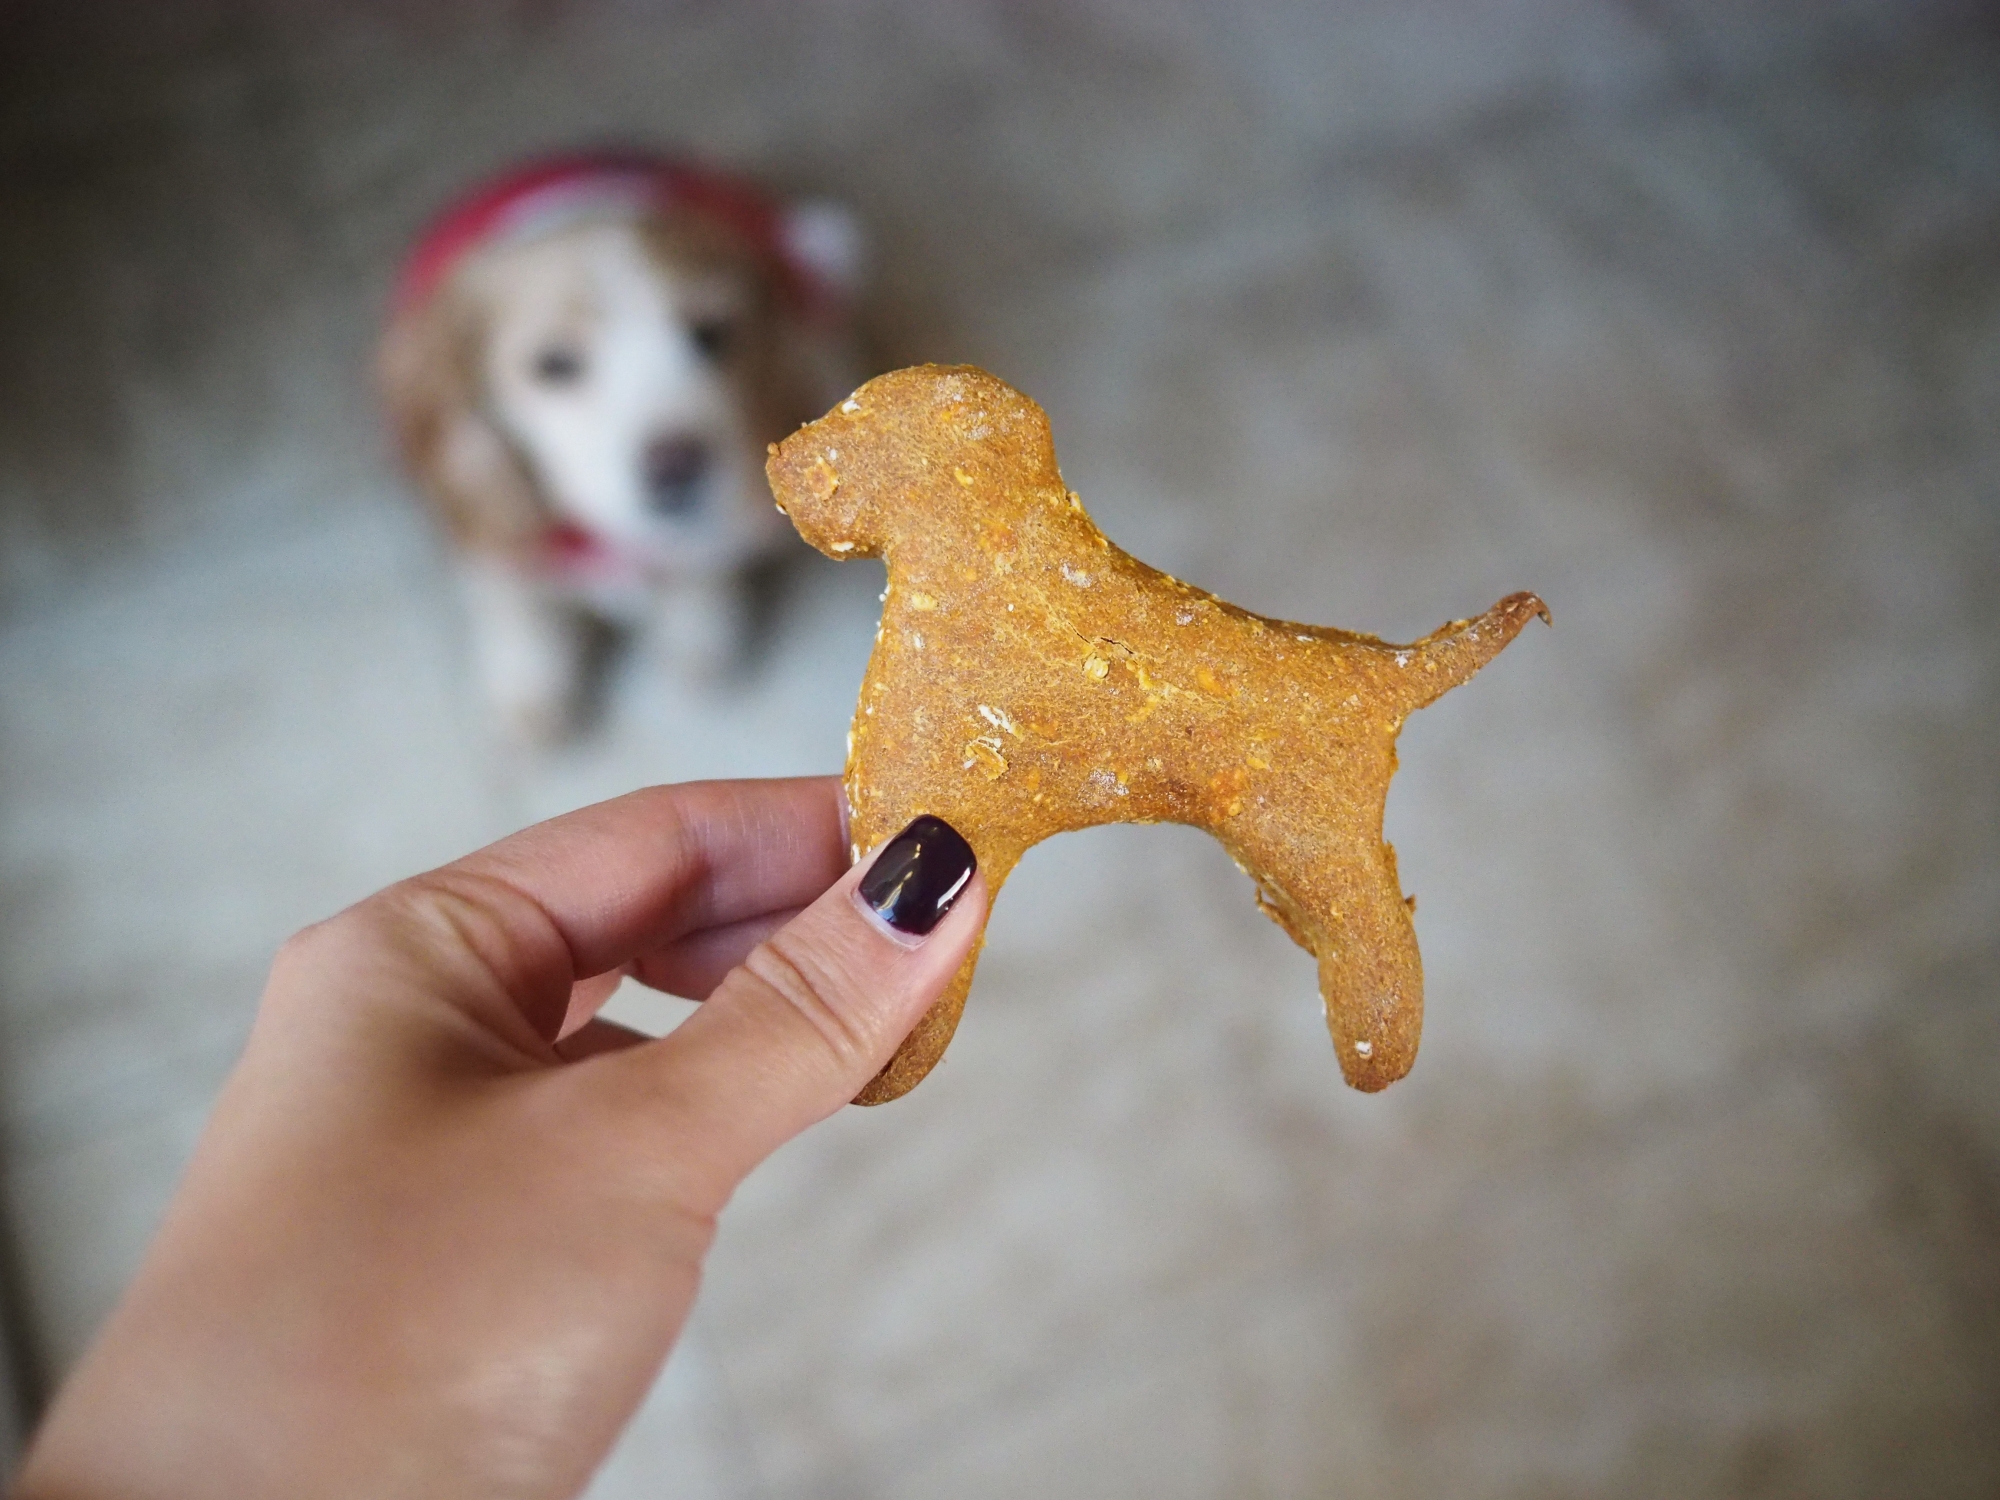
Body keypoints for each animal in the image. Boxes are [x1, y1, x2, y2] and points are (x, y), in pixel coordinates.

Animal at [378, 156, 864, 744]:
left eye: (712, 334)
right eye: (554, 363)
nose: (677, 467)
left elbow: (703, 572)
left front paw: (696, 636)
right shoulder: (491, 529)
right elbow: (517, 607)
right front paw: (531, 690)